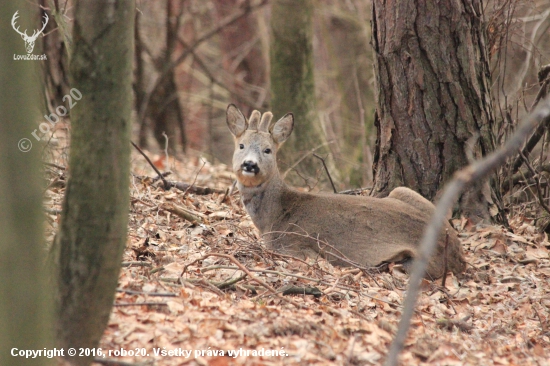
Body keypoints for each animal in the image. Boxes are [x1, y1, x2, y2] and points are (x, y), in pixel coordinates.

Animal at [226, 103, 468, 278]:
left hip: (420, 263)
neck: (273, 216)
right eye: (241, 145)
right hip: (403, 191)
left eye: (268, 150)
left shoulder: (295, 247)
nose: (250, 164)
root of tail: (459, 256)